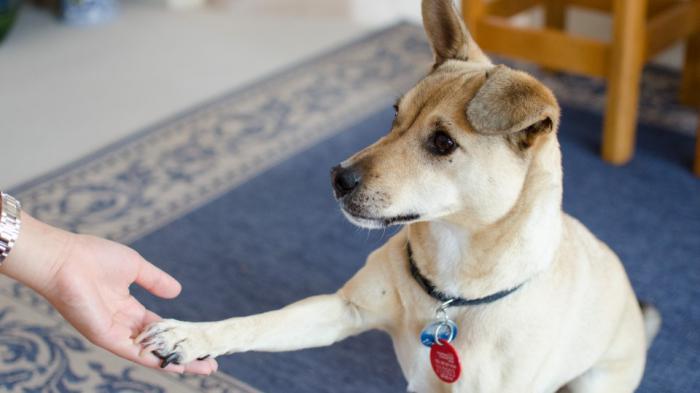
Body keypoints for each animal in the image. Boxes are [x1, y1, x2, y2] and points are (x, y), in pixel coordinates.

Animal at [135, 1, 660, 390]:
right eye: (394, 113)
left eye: (443, 142)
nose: (338, 177)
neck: (449, 289)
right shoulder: (340, 311)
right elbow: (259, 323)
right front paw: (192, 335)